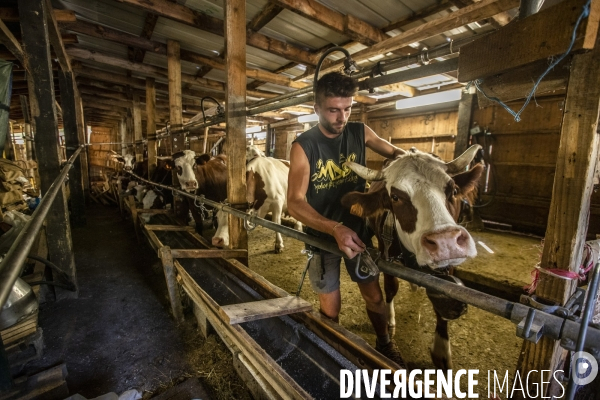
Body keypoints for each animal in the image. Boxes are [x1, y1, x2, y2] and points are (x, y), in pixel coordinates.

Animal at [340, 145, 486, 370]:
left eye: (453, 190)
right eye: (395, 197)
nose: (445, 241)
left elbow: (443, 294)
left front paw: (441, 349)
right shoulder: (387, 256)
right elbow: (390, 288)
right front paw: (389, 321)